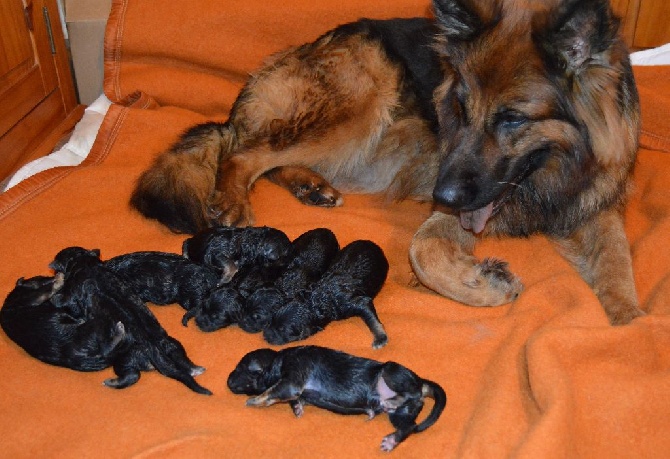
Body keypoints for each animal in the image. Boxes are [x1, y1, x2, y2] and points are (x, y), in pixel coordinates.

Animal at [49, 248, 211, 396]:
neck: (86, 263)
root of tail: (153, 348)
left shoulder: (71, 293)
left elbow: (61, 300)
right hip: (171, 344)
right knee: (179, 354)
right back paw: (193, 369)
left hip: (125, 358)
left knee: (132, 374)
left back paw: (112, 382)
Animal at [131, 0, 644, 324]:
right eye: (459, 109)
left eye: (513, 118)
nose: (441, 193)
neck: (553, 172)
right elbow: (423, 252)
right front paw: (482, 284)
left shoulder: (597, 205)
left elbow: (617, 261)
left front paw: (631, 322)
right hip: (358, 107)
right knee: (242, 151)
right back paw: (233, 199)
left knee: (268, 158)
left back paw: (310, 186)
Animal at [228, 346, 448, 452]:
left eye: (240, 368)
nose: (227, 381)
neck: (279, 361)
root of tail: (421, 382)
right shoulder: (295, 388)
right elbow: (293, 398)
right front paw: (297, 407)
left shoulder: (292, 378)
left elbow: (272, 392)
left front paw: (254, 401)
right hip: (400, 414)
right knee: (409, 426)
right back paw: (392, 440)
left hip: (391, 371)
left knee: (408, 393)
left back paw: (391, 402)